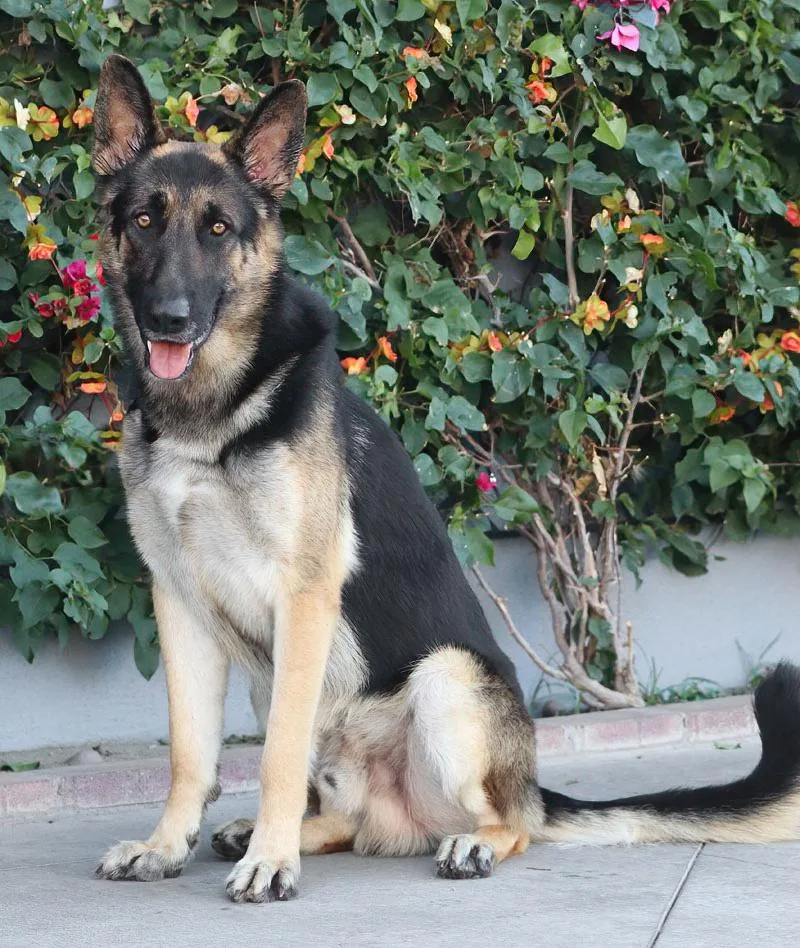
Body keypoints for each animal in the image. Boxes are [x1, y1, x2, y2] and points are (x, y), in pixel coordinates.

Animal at [91, 55, 800, 903]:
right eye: (144, 221)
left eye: (218, 229)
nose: (169, 318)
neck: (210, 414)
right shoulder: (181, 604)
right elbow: (190, 755)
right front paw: (167, 846)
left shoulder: (304, 596)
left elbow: (275, 759)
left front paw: (270, 861)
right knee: (340, 817)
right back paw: (276, 833)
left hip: (445, 678)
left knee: (507, 821)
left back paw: (460, 843)